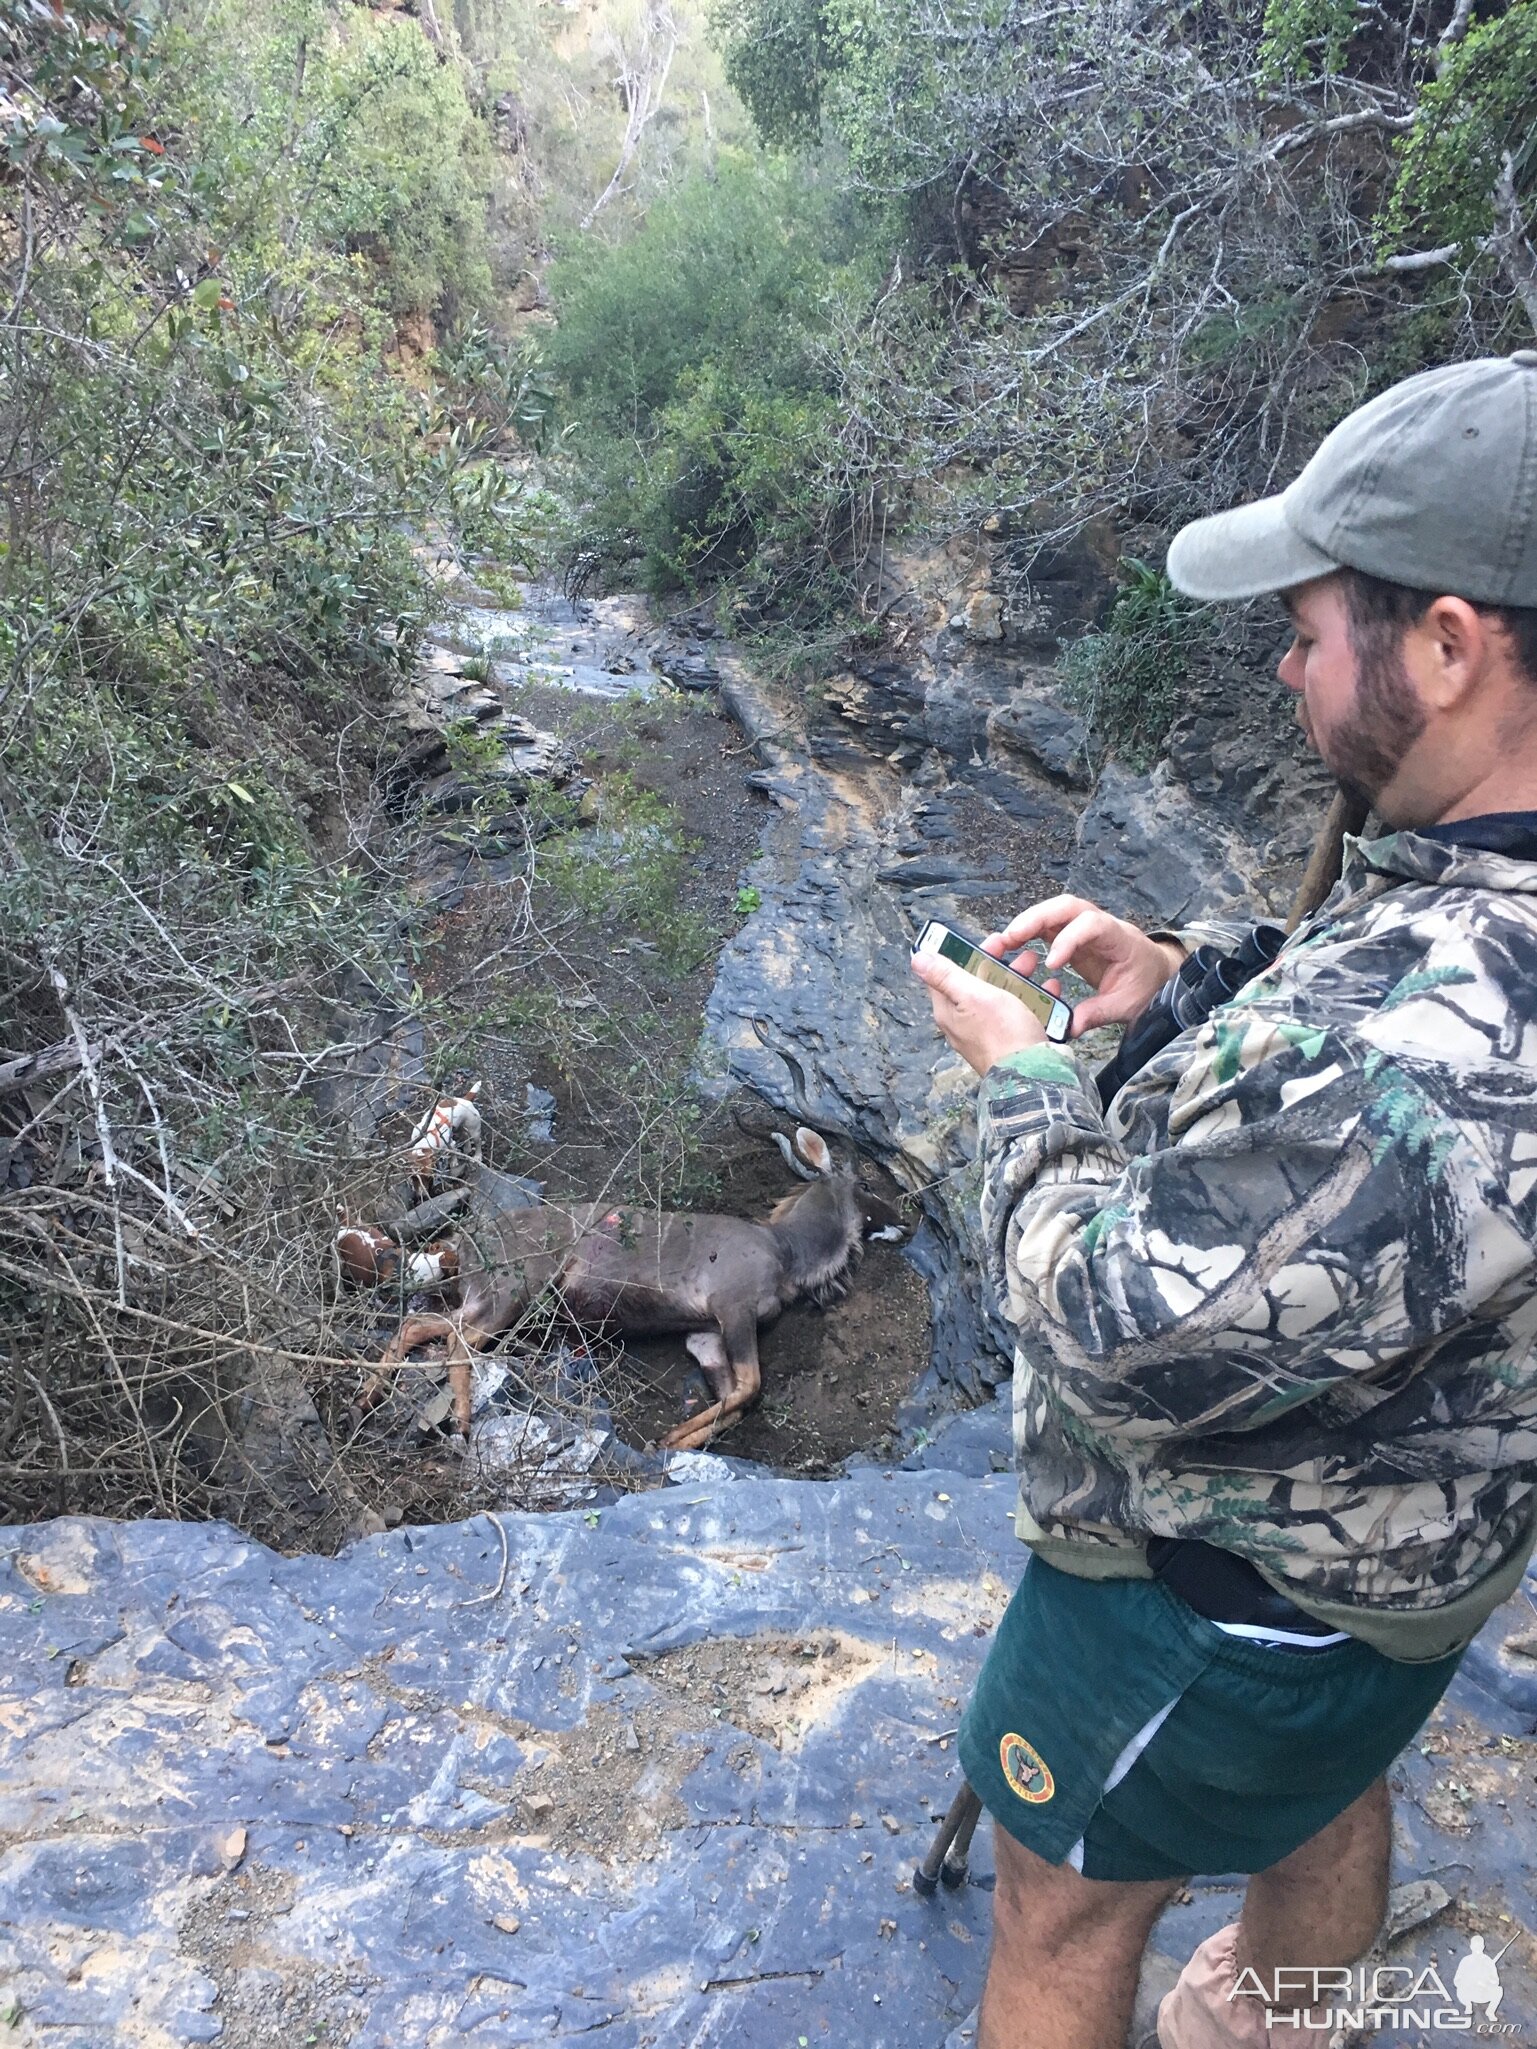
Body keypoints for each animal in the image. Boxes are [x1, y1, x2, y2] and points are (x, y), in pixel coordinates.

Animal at [354, 1131, 909, 1450]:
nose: (904, 1223)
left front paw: (675, 1443)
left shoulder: (704, 1334)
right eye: (866, 1186)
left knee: (417, 1324)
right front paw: (671, 1437)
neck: (787, 1254)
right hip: (514, 1291)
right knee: (454, 1339)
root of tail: (461, 1245)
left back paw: (366, 1400)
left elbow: (735, 1399)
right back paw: (462, 1424)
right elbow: (751, 1388)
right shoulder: (732, 1307)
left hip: (485, 1296)